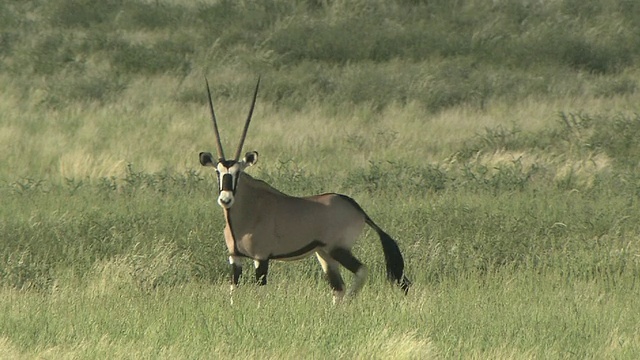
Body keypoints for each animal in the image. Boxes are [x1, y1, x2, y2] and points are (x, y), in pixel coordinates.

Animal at [198, 77, 412, 302]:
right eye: (218, 172)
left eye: (238, 172)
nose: (225, 199)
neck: (247, 211)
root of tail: (357, 208)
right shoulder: (235, 258)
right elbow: (234, 290)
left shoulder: (261, 258)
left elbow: (260, 292)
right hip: (324, 254)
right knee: (338, 287)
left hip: (337, 249)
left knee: (361, 271)